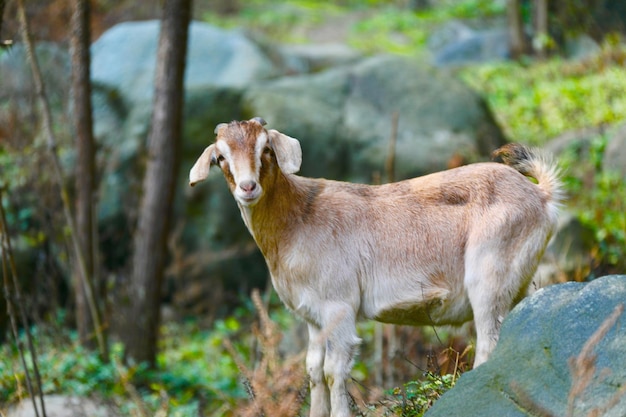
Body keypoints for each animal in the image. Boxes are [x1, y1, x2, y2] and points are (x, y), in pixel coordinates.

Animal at [188, 115, 564, 414]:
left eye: (266, 149)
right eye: (220, 157)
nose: (248, 187)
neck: (299, 218)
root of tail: (541, 195)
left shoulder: (339, 307)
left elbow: (333, 371)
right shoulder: (312, 318)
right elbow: (313, 371)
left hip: (489, 275)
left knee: (488, 341)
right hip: (518, 279)